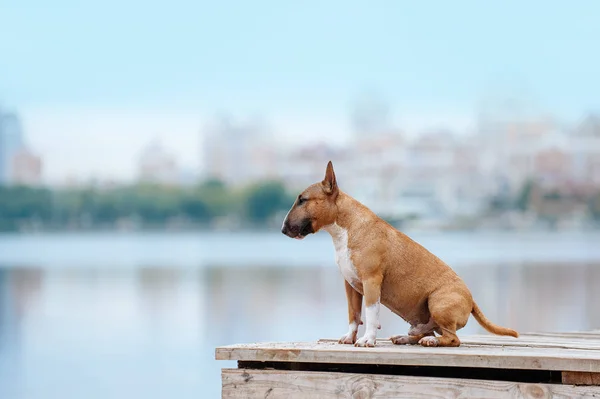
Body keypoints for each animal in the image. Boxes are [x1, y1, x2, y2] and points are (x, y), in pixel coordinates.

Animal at [284, 161, 516, 348]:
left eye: (303, 200)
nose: (283, 229)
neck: (346, 228)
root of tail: (471, 299)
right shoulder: (350, 285)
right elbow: (353, 314)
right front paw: (349, 337)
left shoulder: (371, 280)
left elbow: (371, 313)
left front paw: (367, 340)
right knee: (427, 330)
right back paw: (407, 337)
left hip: (438, 302)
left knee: (452, 338)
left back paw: (431, 341)